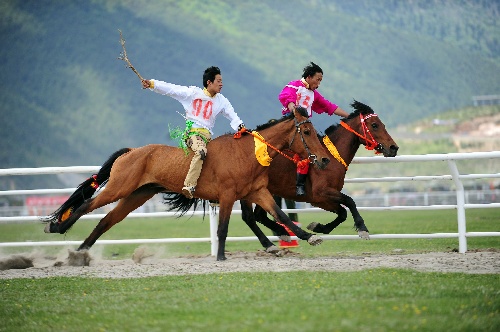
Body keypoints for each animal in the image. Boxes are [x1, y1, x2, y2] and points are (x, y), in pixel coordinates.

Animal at [43, 106, 330, 260]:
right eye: (306, 131)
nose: (325, 159)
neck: (247, 153)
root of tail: (132, 151)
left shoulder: (258, 192)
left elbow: (281, 215)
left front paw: (309, 237)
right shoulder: (228, 196)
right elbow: (223, 228)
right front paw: (221, 256)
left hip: (137, 195)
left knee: (106, 220)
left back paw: (80, 254)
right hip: (118, 188)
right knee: (86, 206)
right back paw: (58, 229)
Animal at [240, 100, 400, 252]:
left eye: (382, 124)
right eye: (374, 125)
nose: (394, 148)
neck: (332, 157)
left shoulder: (321, 200)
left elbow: (342, 212)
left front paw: (318, 227)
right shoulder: (321, 192)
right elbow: (350, 201)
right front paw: (362, 228)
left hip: (265, 191)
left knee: (259, 215)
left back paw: (282, 232)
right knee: (249, 217)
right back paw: (272, 242)